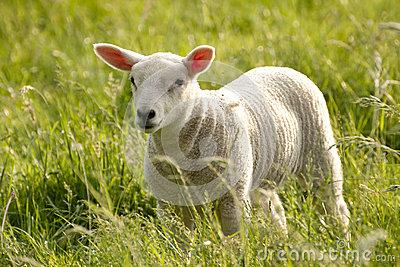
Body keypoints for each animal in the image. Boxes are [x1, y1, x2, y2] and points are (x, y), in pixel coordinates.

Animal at [94, 43, 350, 238]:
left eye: (179, 82)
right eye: (133, 80)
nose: (146, 114)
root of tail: (281, 67)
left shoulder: (231, 197)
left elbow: (234, 237)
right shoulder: (169, 204)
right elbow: (180, 241)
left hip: (319, 153)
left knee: (333, 203)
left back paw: (341, 237)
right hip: (262, 173)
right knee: (274, 208)